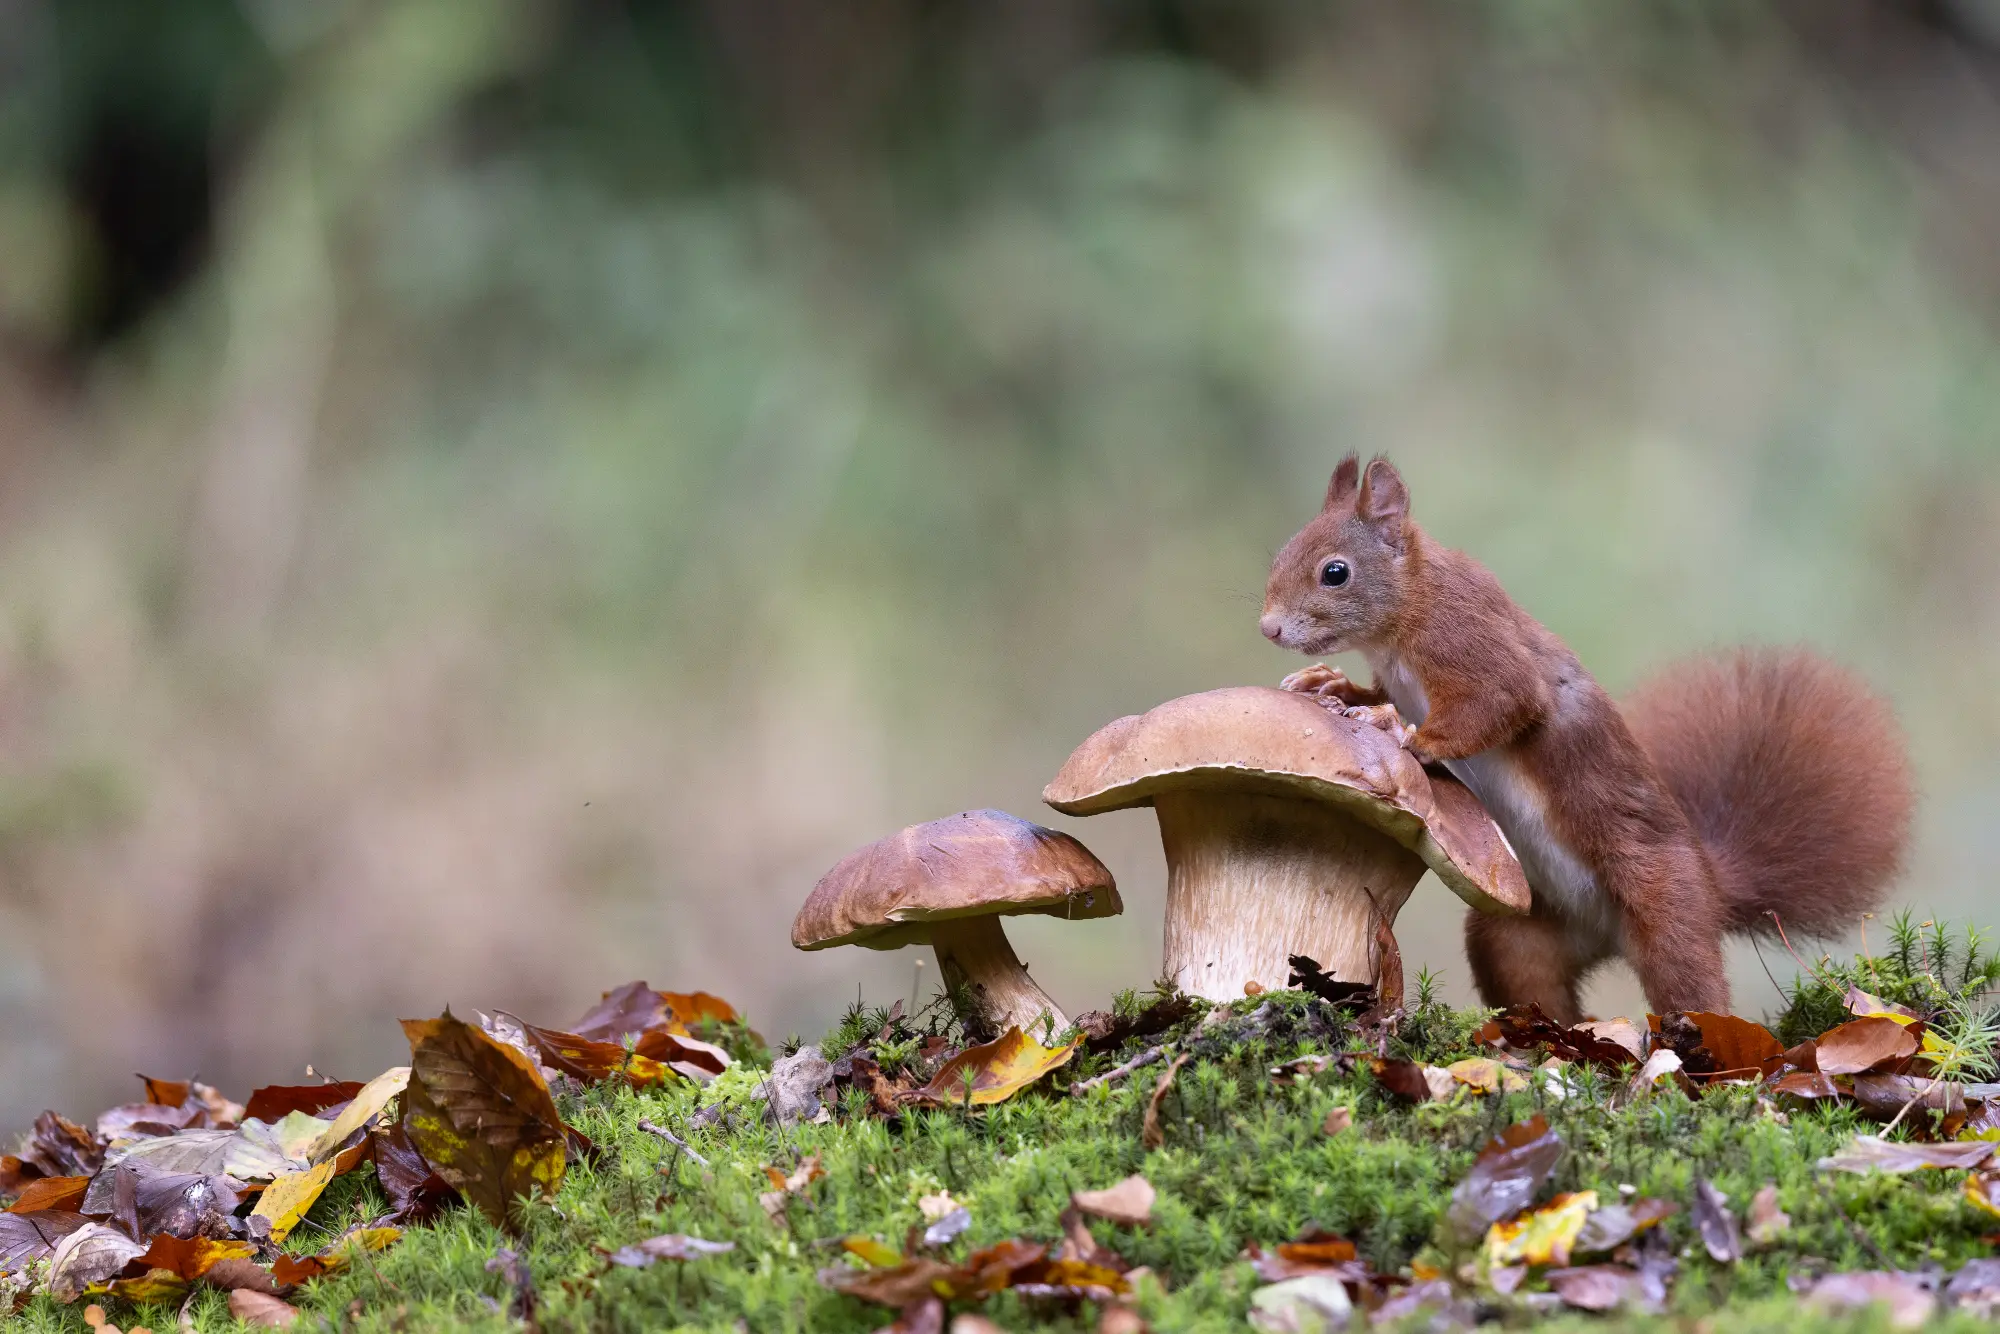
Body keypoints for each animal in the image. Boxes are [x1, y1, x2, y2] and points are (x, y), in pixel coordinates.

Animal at [1260, 453, 1914, 1021]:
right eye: (1282, 551)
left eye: (1335, 573)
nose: (1268, 628)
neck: (1410, 604)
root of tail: (1711, 882)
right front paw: (1332, 685)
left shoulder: (1469, 642)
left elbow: (1499, 704)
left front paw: (1396, 728)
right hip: (1518, 937)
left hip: (1667, 909)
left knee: (1693, 986)